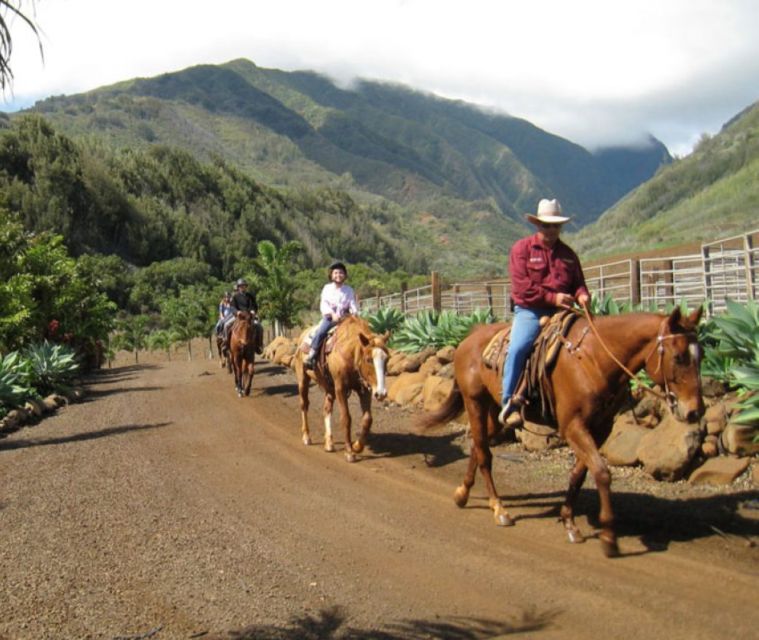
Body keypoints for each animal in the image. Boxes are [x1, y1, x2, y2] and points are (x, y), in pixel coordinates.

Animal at [294, 316, 392, 460]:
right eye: (368, 359)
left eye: (387, 359)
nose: (381, 393)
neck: (350, 352)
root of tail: (302, 336)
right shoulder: (340, 388)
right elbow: (346, 418)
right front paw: (349, 452)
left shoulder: (364, 390)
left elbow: (367, 419)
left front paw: (357, 446)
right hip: (303, 378)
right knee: (304, 404)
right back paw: (306, 437)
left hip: (329, 387)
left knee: (327, 409)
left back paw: (329, 443)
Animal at [418, 306, 704, 556]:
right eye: (678, 357)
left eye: (700, 356)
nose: (695, 411)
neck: (594, 359)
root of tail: (468, 339)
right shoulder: (572, 426)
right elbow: (602, 472)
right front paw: (609, 538)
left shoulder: (599, 428)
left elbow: (580, 473)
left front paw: (569, 522)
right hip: (474, 401)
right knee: (485, 454)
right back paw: (499, 509)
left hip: (494, 411)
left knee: (478, 446)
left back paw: (463, 493)